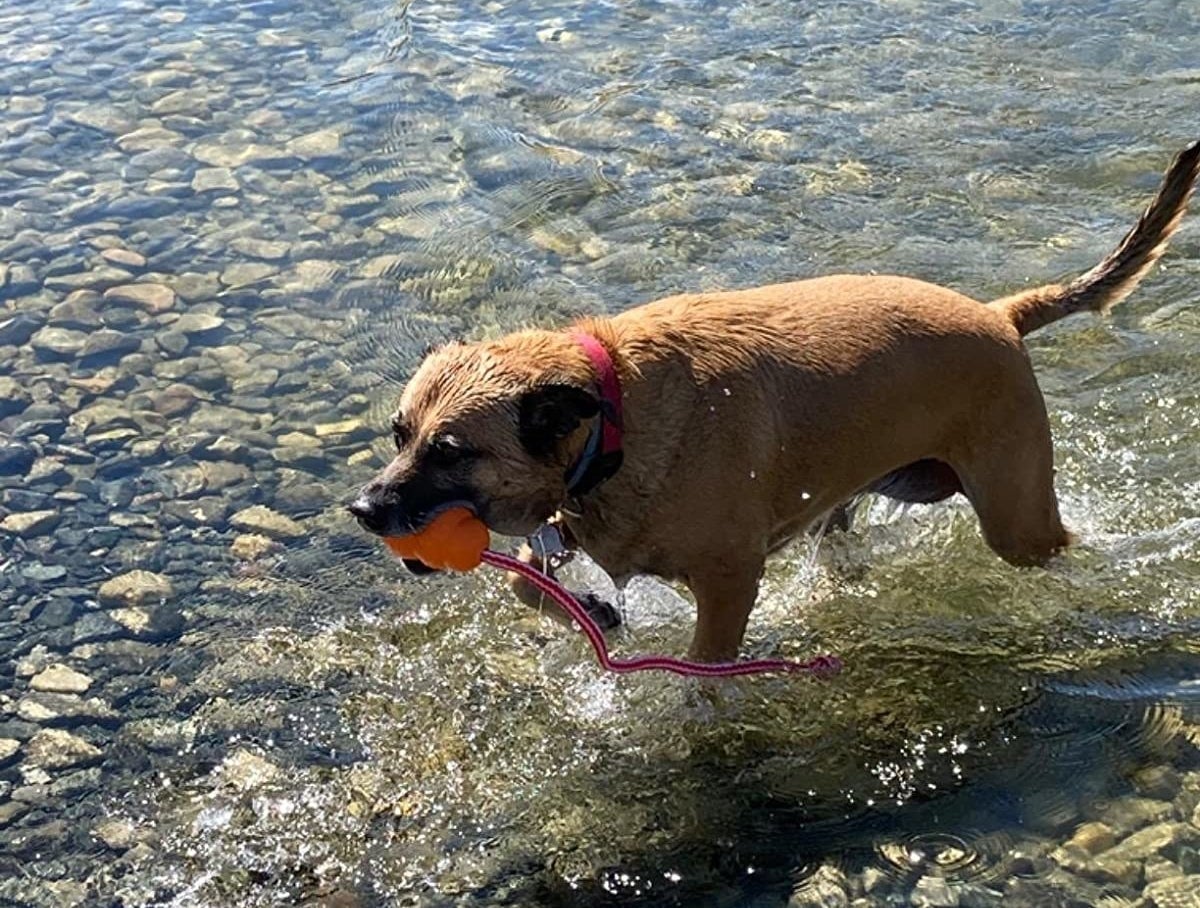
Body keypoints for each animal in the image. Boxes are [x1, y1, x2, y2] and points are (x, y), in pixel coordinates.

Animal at [350, 143, 1200, 666]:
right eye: (398, 433)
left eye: (451, 451)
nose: (363, 509)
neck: (613, 412)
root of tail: (1003, 315)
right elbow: (531, 583)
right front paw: (598, 612)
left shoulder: (731, 579)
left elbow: (703, 665)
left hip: (1016, 518)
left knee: (1056, 544)